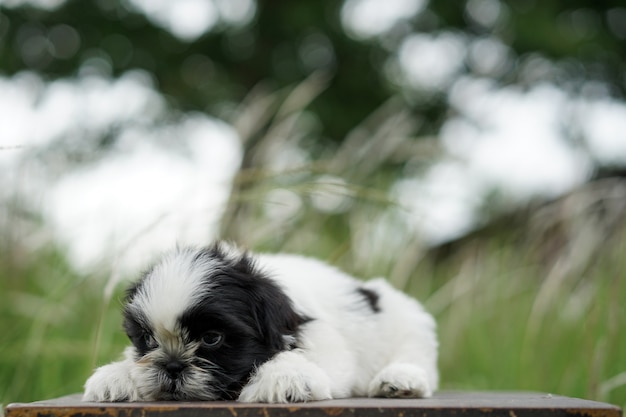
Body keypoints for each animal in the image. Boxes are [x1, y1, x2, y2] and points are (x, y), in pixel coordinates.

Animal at [80, 242, 436, 402]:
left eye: (212, 338)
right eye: (149, 340)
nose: (172, 365)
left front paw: (285, 378)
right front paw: (117, 376)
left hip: (407, 320)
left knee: (416, 355)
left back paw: (399, 380)